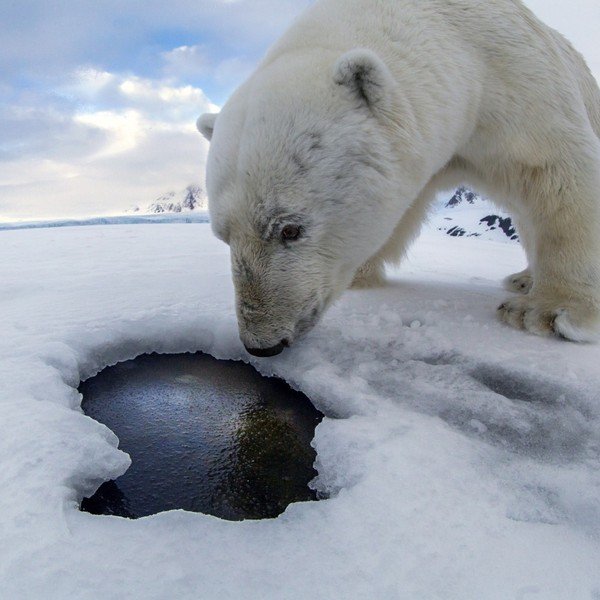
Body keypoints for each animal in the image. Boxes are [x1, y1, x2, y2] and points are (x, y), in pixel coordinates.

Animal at [198, 0, 600, 356]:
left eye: (290, 229)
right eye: (222, 235)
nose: (262, 344)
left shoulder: (515, 81)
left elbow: (557, 172)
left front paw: (548, 310)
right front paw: (361, 273)